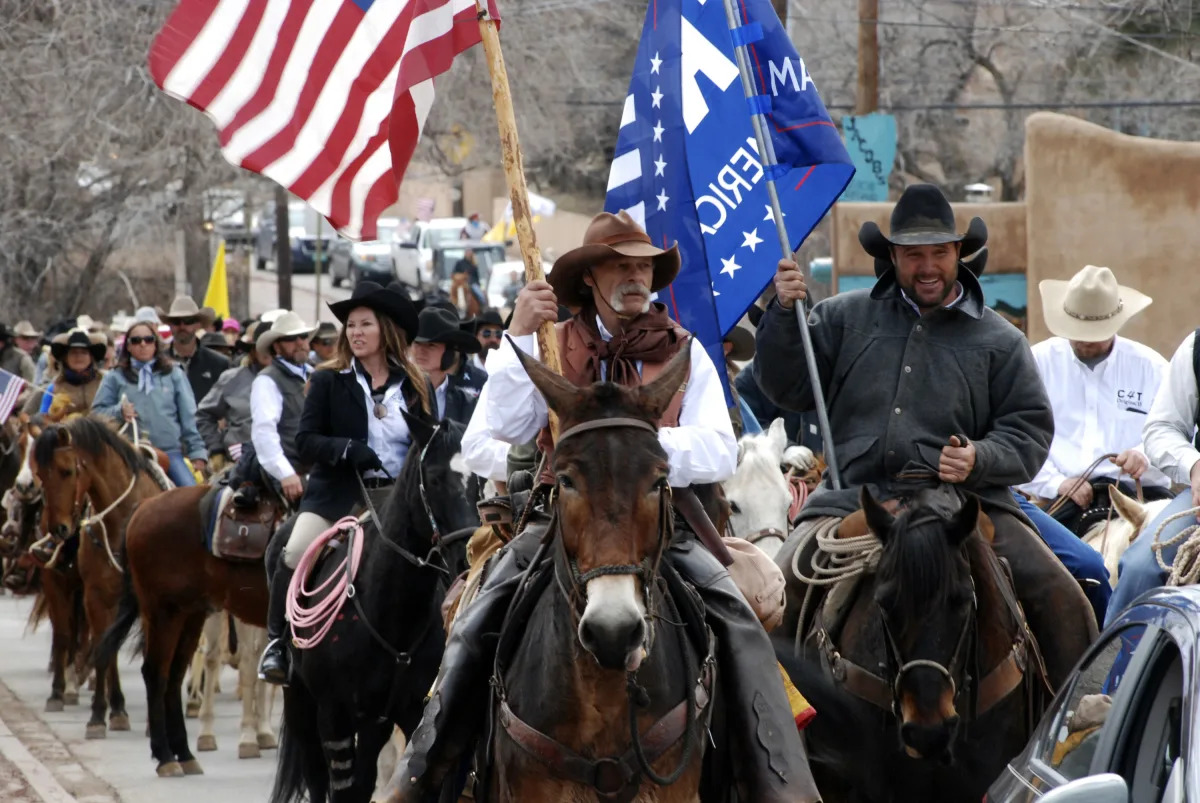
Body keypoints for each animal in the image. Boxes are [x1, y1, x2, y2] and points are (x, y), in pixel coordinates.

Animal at [34, 412, 168, 739]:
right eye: (40, 474)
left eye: (66, 471)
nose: (58, 530)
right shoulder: (96, 598)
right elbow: (104, 650)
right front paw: (99, 715)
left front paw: (153, 722)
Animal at [271, 412, 472, 801]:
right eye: (435, 478)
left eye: (481, 477)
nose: (468, 558)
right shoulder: (334, 716)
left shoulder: (414, 713)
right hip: (300, 700)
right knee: (316, 775)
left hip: (375, 720)